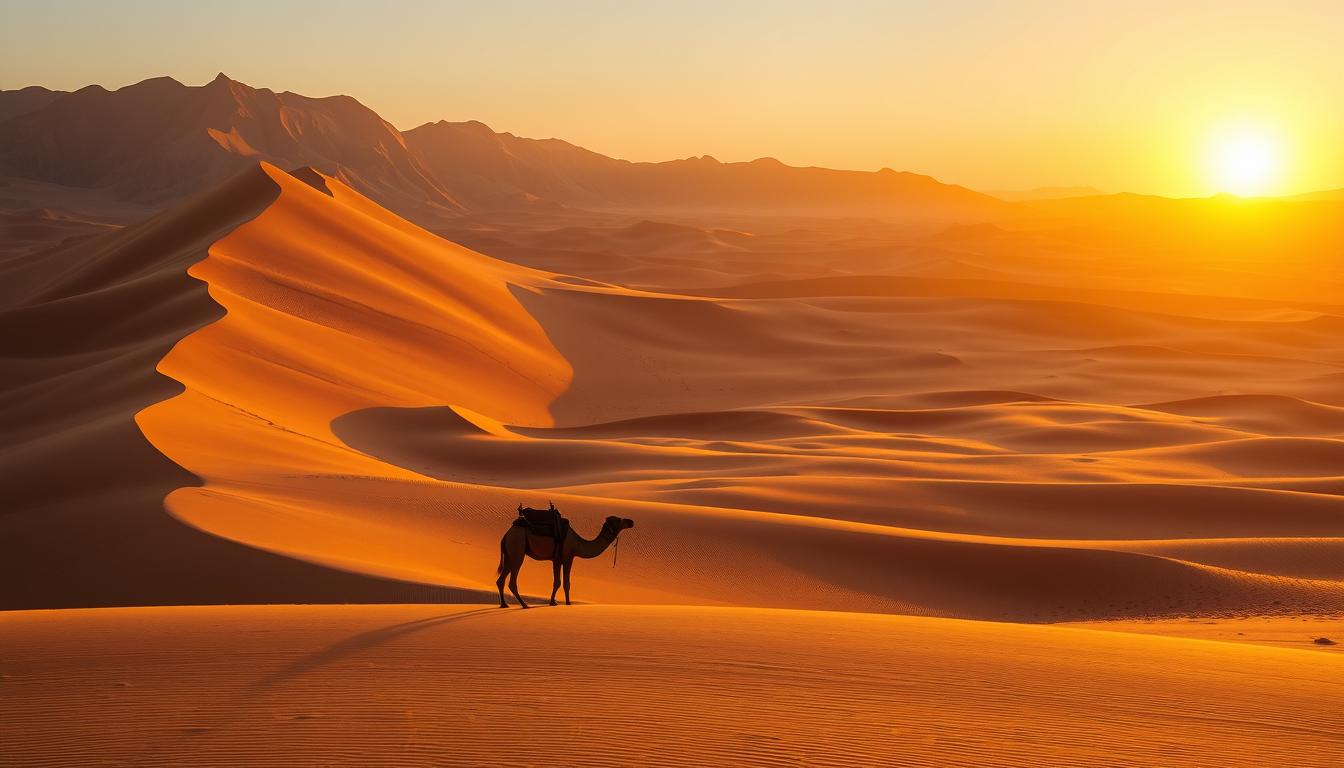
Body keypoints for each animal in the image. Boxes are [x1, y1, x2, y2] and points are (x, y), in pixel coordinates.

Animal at [499, 503, 634, 610]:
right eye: (619, 520)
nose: (631, 522)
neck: (578, 543)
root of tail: (506, 535)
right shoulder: (569, 557)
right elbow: (566, 583)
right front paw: (567, 603)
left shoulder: (557, 559)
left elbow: (557, 582)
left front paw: (553, 602)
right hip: (517, 548)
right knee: (512, 581)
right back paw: (524, 605)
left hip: (510, 553)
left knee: (501, 579)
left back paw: (504, 604)